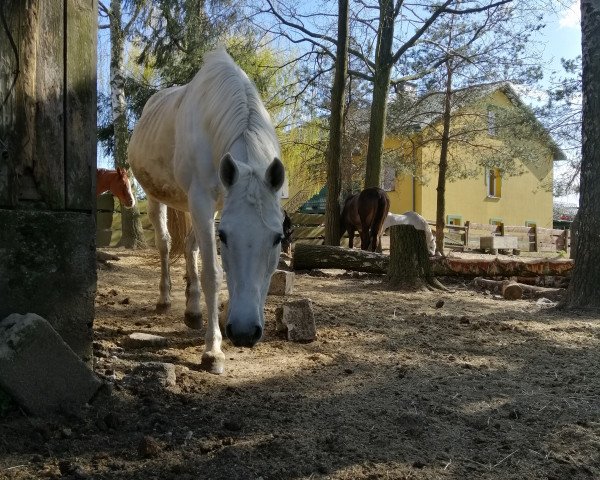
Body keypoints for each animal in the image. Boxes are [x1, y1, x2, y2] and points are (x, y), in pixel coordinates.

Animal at [127, 47, 286, 376]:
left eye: (278, 238)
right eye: (223, 237)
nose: (244, 332)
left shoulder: (213, 206)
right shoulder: (201, 201)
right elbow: (213, 272)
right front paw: (213, 350)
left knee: (190, 248)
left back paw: (193, 310)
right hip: (157, 198)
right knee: (165, 245)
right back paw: (165, 299)